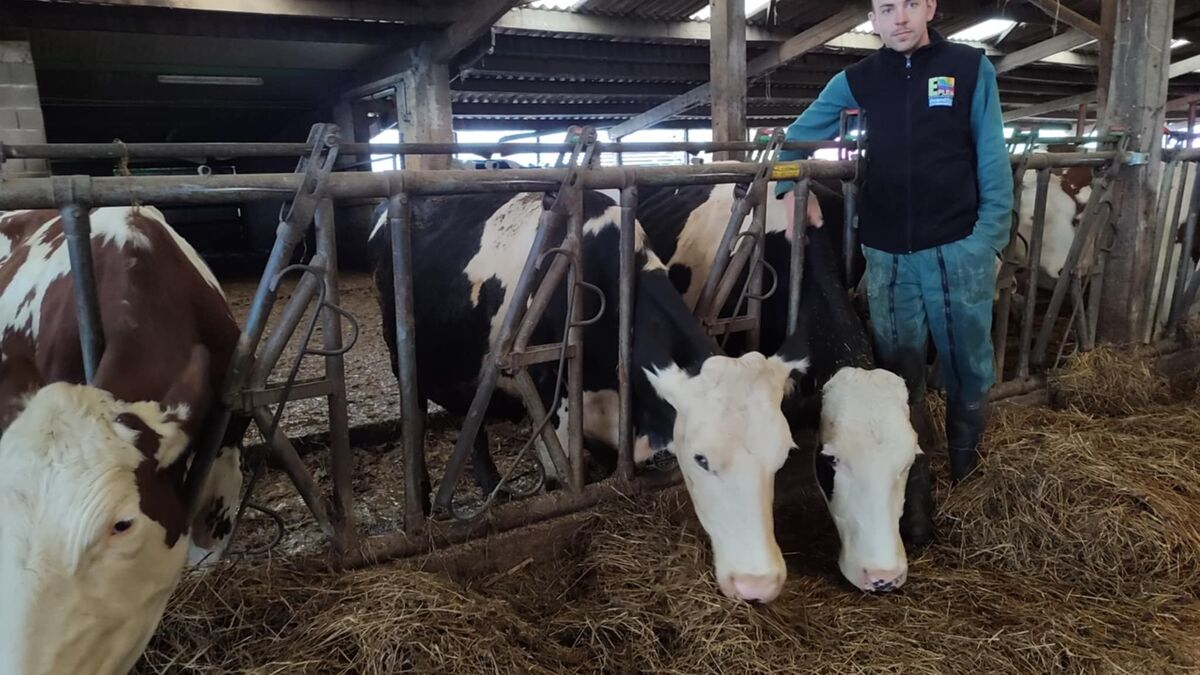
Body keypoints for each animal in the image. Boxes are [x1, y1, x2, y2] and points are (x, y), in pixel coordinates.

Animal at [369, 190, 811, 605]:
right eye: (700, 459)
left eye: (783, 454)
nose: (759, 583)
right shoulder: (553, 417)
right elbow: (558, 487)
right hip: (402, 356)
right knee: (420, 418)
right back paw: (426, 500)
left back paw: (492, 482)